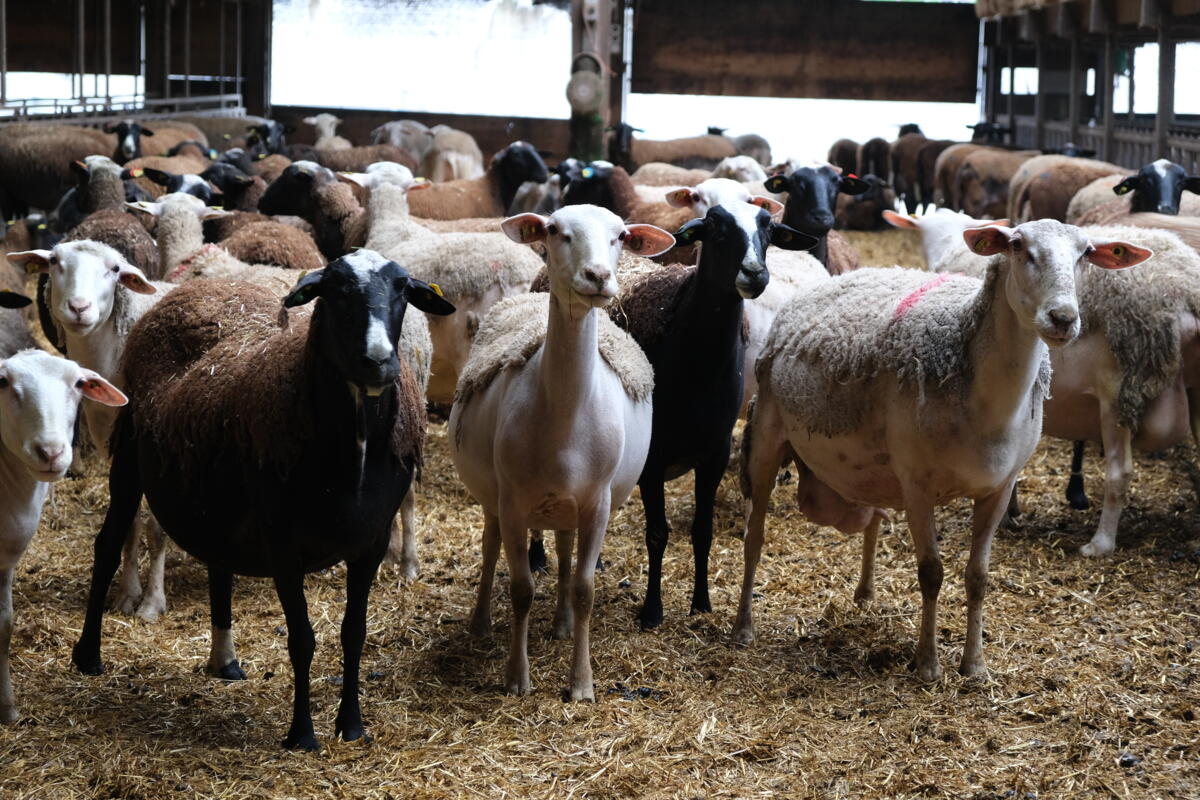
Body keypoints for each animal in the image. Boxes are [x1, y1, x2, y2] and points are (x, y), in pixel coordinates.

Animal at [0, 347, 127, 723]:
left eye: (79, 384)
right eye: (3, 382)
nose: (50, 452)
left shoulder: (6, 561)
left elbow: (4, 626)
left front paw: (7, 708)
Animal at [71, 254, 455, 750]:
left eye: (404, 291)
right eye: (335, 291)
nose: (378, 361)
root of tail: (199, 289)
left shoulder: (370, 542)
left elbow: (354, 633)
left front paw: (351, 726)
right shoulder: (283, 543)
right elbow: (302, 639)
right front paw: (302, 735)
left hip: (212, 492)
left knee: (216, 560)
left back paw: (225, 662)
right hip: (130, 454)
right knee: (106, 544)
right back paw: (88, 656)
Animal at [450, 204, 673, 699]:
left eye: (621, 236)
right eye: (554, 231)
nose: (598, 276)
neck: (566, 412)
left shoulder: (598, 503)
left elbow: (585, 589)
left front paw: (581, 683)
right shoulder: (513, 502)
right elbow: (521, 589)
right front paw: (517, 678)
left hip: (567, 505)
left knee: (566, 551)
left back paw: (562, 625)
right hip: (495, 498)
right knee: (490, 548)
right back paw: (480, 623)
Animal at [611, 185, 816, 630]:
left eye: (768, 230)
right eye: (717, 228)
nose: (755, 274)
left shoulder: (715, 453)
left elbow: (701, 531)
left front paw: (700, 603)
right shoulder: (653, 458)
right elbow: (657, 533)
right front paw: (652, 610)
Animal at [736, 219, 1151, 680]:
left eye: (1086, 254)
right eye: (1018, 246)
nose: (1063, 318)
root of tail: (833, 279)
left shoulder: (999, 488)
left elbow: (978, 576)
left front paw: (975, 666)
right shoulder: (917, 486)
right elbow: (931, 573)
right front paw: (928, 664)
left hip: (873, 468)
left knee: (872, 518)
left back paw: (865, 592)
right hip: (768, 435)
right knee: (755, 536)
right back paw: (743, 626)